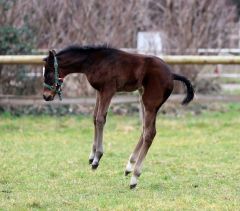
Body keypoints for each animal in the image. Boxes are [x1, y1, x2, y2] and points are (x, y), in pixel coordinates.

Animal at [42, 45, 194, 189]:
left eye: (49, 73)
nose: (46, 96)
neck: (94, 61)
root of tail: (171, 74)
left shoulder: (108, 89)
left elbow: (100, 119)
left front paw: (97, 158)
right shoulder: (99, 91)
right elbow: (94, 118)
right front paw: (92, 156)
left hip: (150, 103)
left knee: (150, 133)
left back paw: (134, 177)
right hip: (143, 98)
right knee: (145, 129)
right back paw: (129, 166)